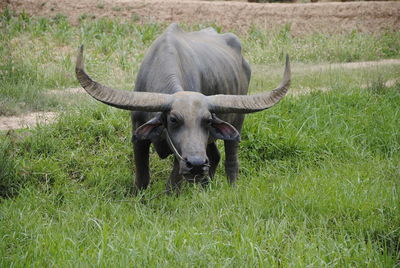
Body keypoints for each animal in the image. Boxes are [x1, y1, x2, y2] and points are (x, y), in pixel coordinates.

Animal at [76, 22, 290, 191]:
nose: (195, 164)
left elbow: (173, 183)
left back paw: (230, 186)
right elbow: (142, 176)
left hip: (237, 121)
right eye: (173, 119)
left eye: (208, 120)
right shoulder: (138, 134)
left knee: (231, 158)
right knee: (214, 156)